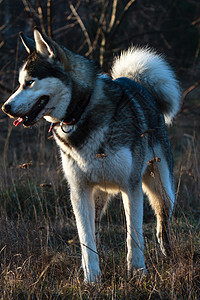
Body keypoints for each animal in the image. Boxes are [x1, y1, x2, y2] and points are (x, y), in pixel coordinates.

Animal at [1, 28, 180, 284]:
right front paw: (91, 278)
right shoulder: (79, 191)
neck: (81, 113)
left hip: (161, 189)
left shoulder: (131, 187)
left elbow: (133, 235)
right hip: (99, 196)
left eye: (29, 82)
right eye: (18, 84)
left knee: (161, 226)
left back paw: (167, 256)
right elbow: (86, 238)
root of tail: (137, 83)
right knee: (95, 230)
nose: (5, 108)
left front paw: (137, 271)